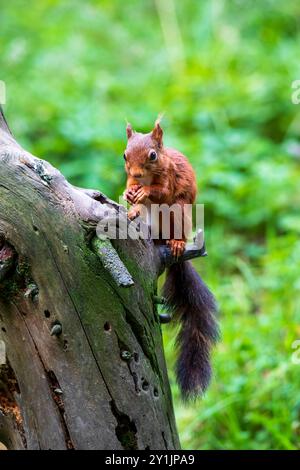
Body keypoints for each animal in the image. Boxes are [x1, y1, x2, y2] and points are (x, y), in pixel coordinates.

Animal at [122, 119, 218, 398]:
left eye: (153, 155)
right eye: (124, 155)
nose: (137, 174)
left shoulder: (170, 179)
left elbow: (162, 191)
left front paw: (144, 191)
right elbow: (129, 188)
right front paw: (129, 195)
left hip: (179, 212)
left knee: (175, 226)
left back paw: (176, 243)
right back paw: (135, 215)